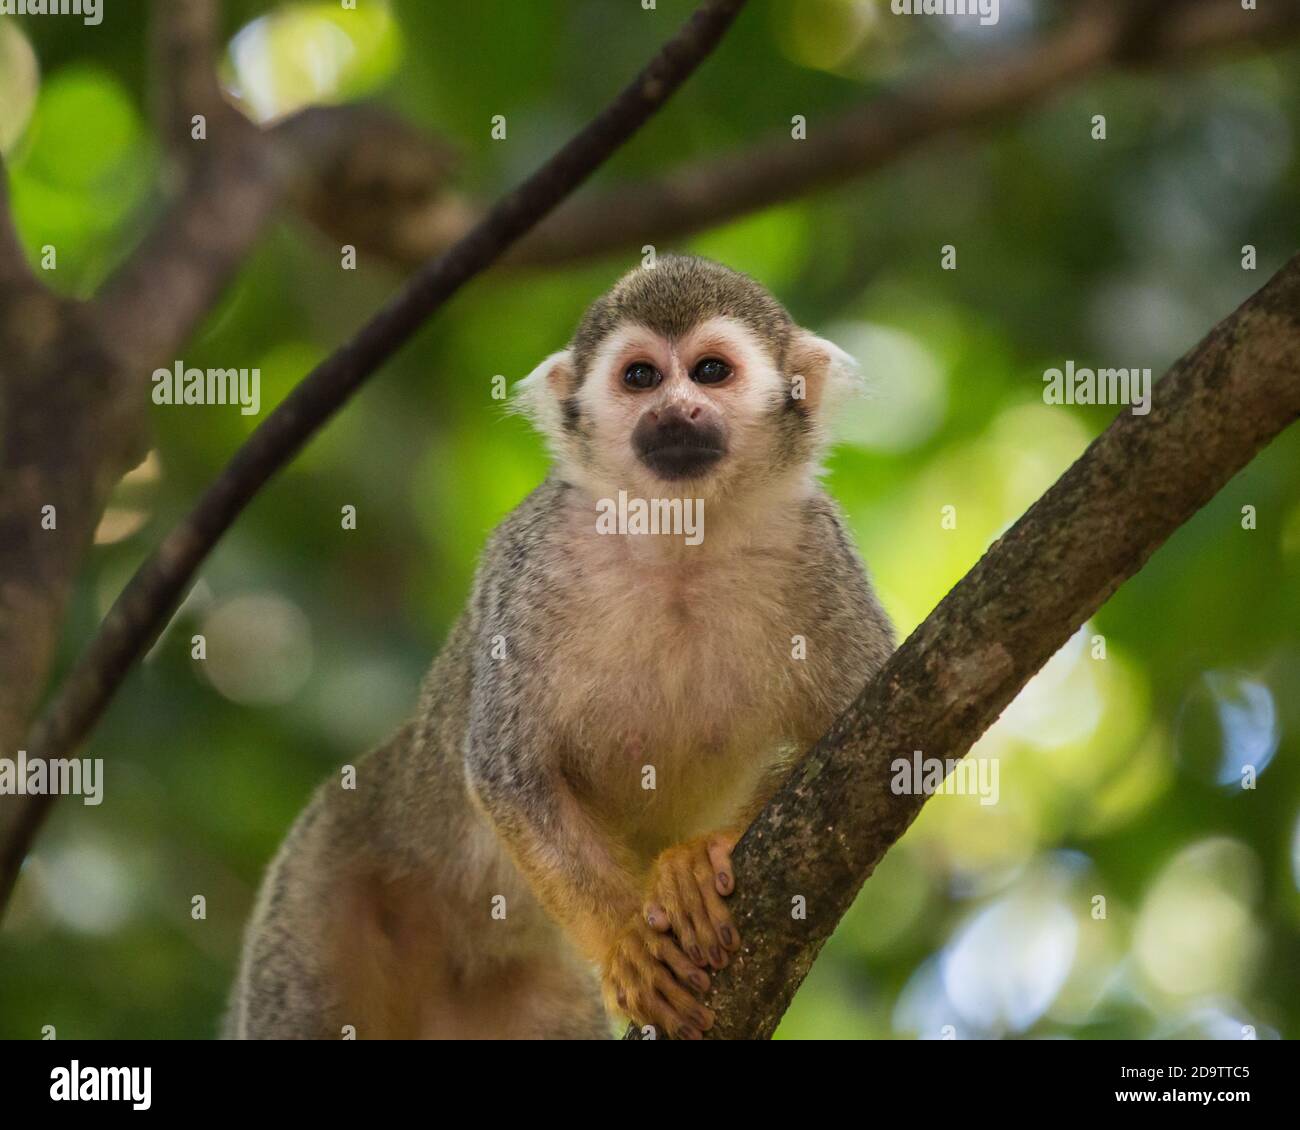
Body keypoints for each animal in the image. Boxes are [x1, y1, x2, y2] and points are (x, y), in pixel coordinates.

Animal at [225, 254, 895, 1040]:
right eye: (640, 377)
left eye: (709, 371)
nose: (674, 410)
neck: (681, 540)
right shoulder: (537, 560)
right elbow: (509, 771)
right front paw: (629, 943)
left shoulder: (818, 549)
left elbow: (869, 751)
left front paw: (700, 861)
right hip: (324, 876)